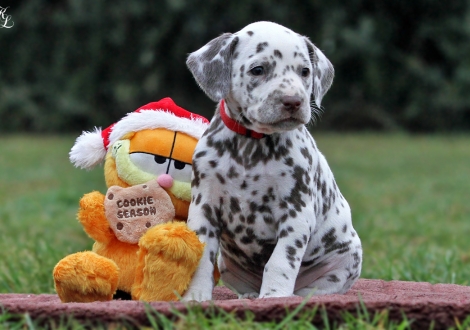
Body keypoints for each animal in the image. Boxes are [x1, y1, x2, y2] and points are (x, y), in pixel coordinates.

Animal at [182, 19, 362, 300]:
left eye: (305, 71)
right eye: (258, 70)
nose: (293, 101)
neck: (251, 146)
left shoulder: (297, 213)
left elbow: (280, 261)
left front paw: (275, 296)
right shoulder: (204, 208)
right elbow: (201, 257)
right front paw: (195, 296)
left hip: (346, 259)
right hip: (229, 264)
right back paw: (249, 296)